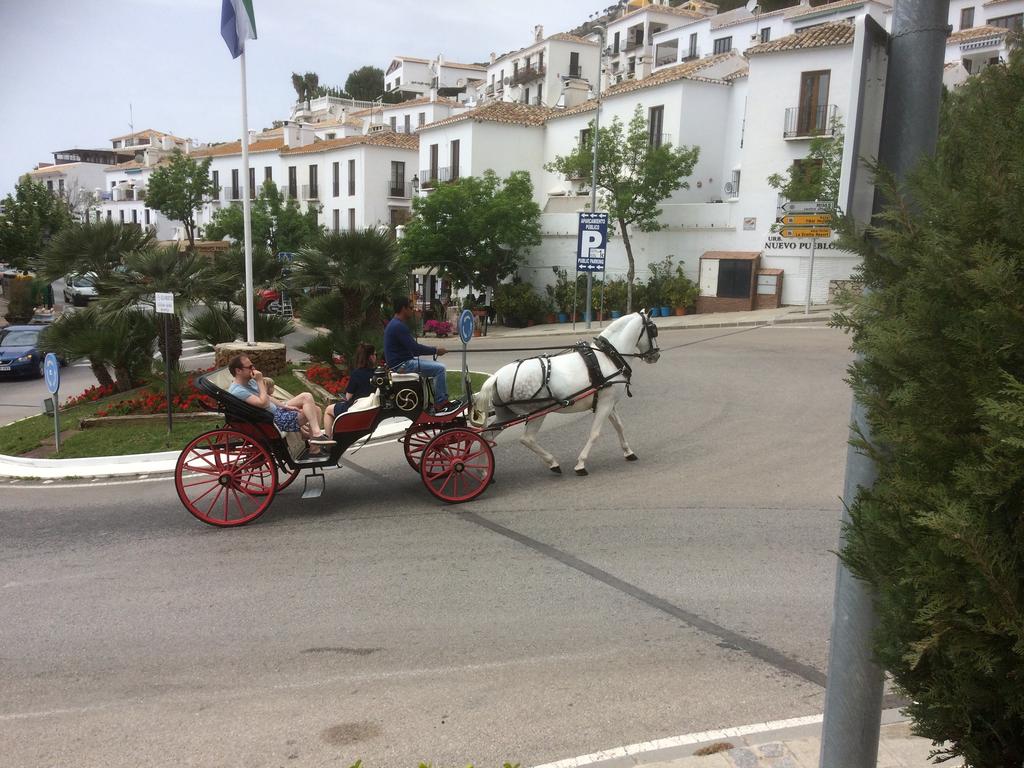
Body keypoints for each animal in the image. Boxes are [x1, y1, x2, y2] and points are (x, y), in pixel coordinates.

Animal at [473, 311, 663, 475]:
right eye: (653, 329)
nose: (655, 356)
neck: (608, 358)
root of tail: (497, 376)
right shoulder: (605, 404)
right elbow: (595, 433)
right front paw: (581, 464)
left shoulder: (608, 403)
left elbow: (619, 426)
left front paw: (628, 452)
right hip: (537, 412)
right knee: (527, 439)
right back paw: (552, 462)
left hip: (506, 414)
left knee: (487, 435)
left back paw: (483, 470)